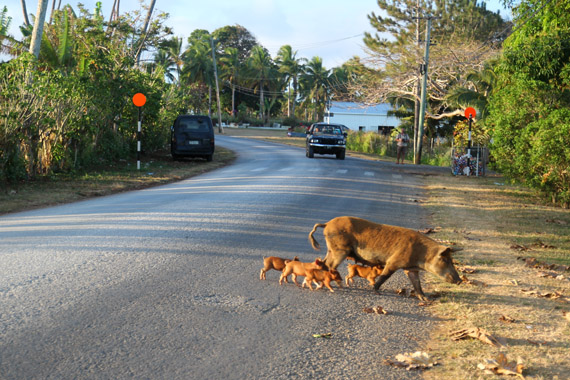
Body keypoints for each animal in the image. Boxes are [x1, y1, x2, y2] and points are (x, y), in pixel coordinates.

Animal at [306, 217, 462, 300]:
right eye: (445, 260)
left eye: (452, 260)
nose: (460, 281)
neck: (421, 254)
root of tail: (327, 224)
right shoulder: (393, 262)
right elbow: (384, 276)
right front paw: (375, 291)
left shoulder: (411, 269)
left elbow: (416, 283)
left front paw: (425, 298)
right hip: (339, 249)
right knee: (330, 266)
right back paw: (336, 286)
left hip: (331, 249)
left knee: (324, 263)